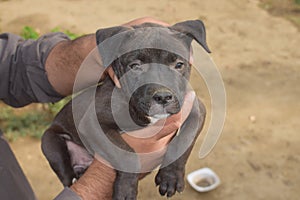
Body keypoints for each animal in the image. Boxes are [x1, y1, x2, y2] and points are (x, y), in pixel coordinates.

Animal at [42, 19, 210, 198]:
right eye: (135, 66)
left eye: (179, 64)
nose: (163, 97)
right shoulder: (93, 123)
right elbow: (127, 155)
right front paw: (125, 190)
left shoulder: (196, 108)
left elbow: (184, 140)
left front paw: (170, 176)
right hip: (50, 142)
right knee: (65, 174)